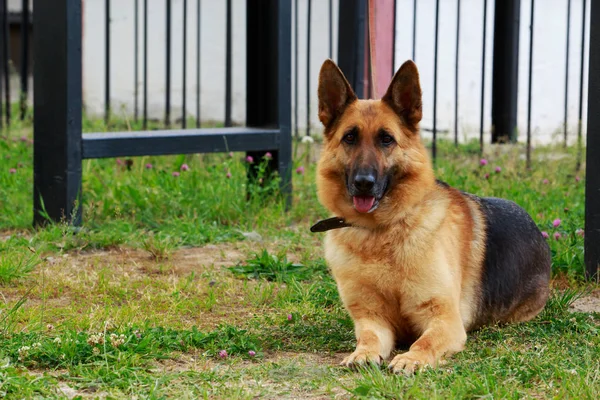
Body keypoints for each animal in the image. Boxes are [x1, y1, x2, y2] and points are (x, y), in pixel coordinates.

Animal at [314, 59, 552, 376]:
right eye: (349, 137)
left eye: (386, 139)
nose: (364, 183)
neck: (381, 231)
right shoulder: (371, 318)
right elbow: (369, 337)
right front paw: (363, 353)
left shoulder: (445, 321)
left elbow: (423, 342)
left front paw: (411, 358)